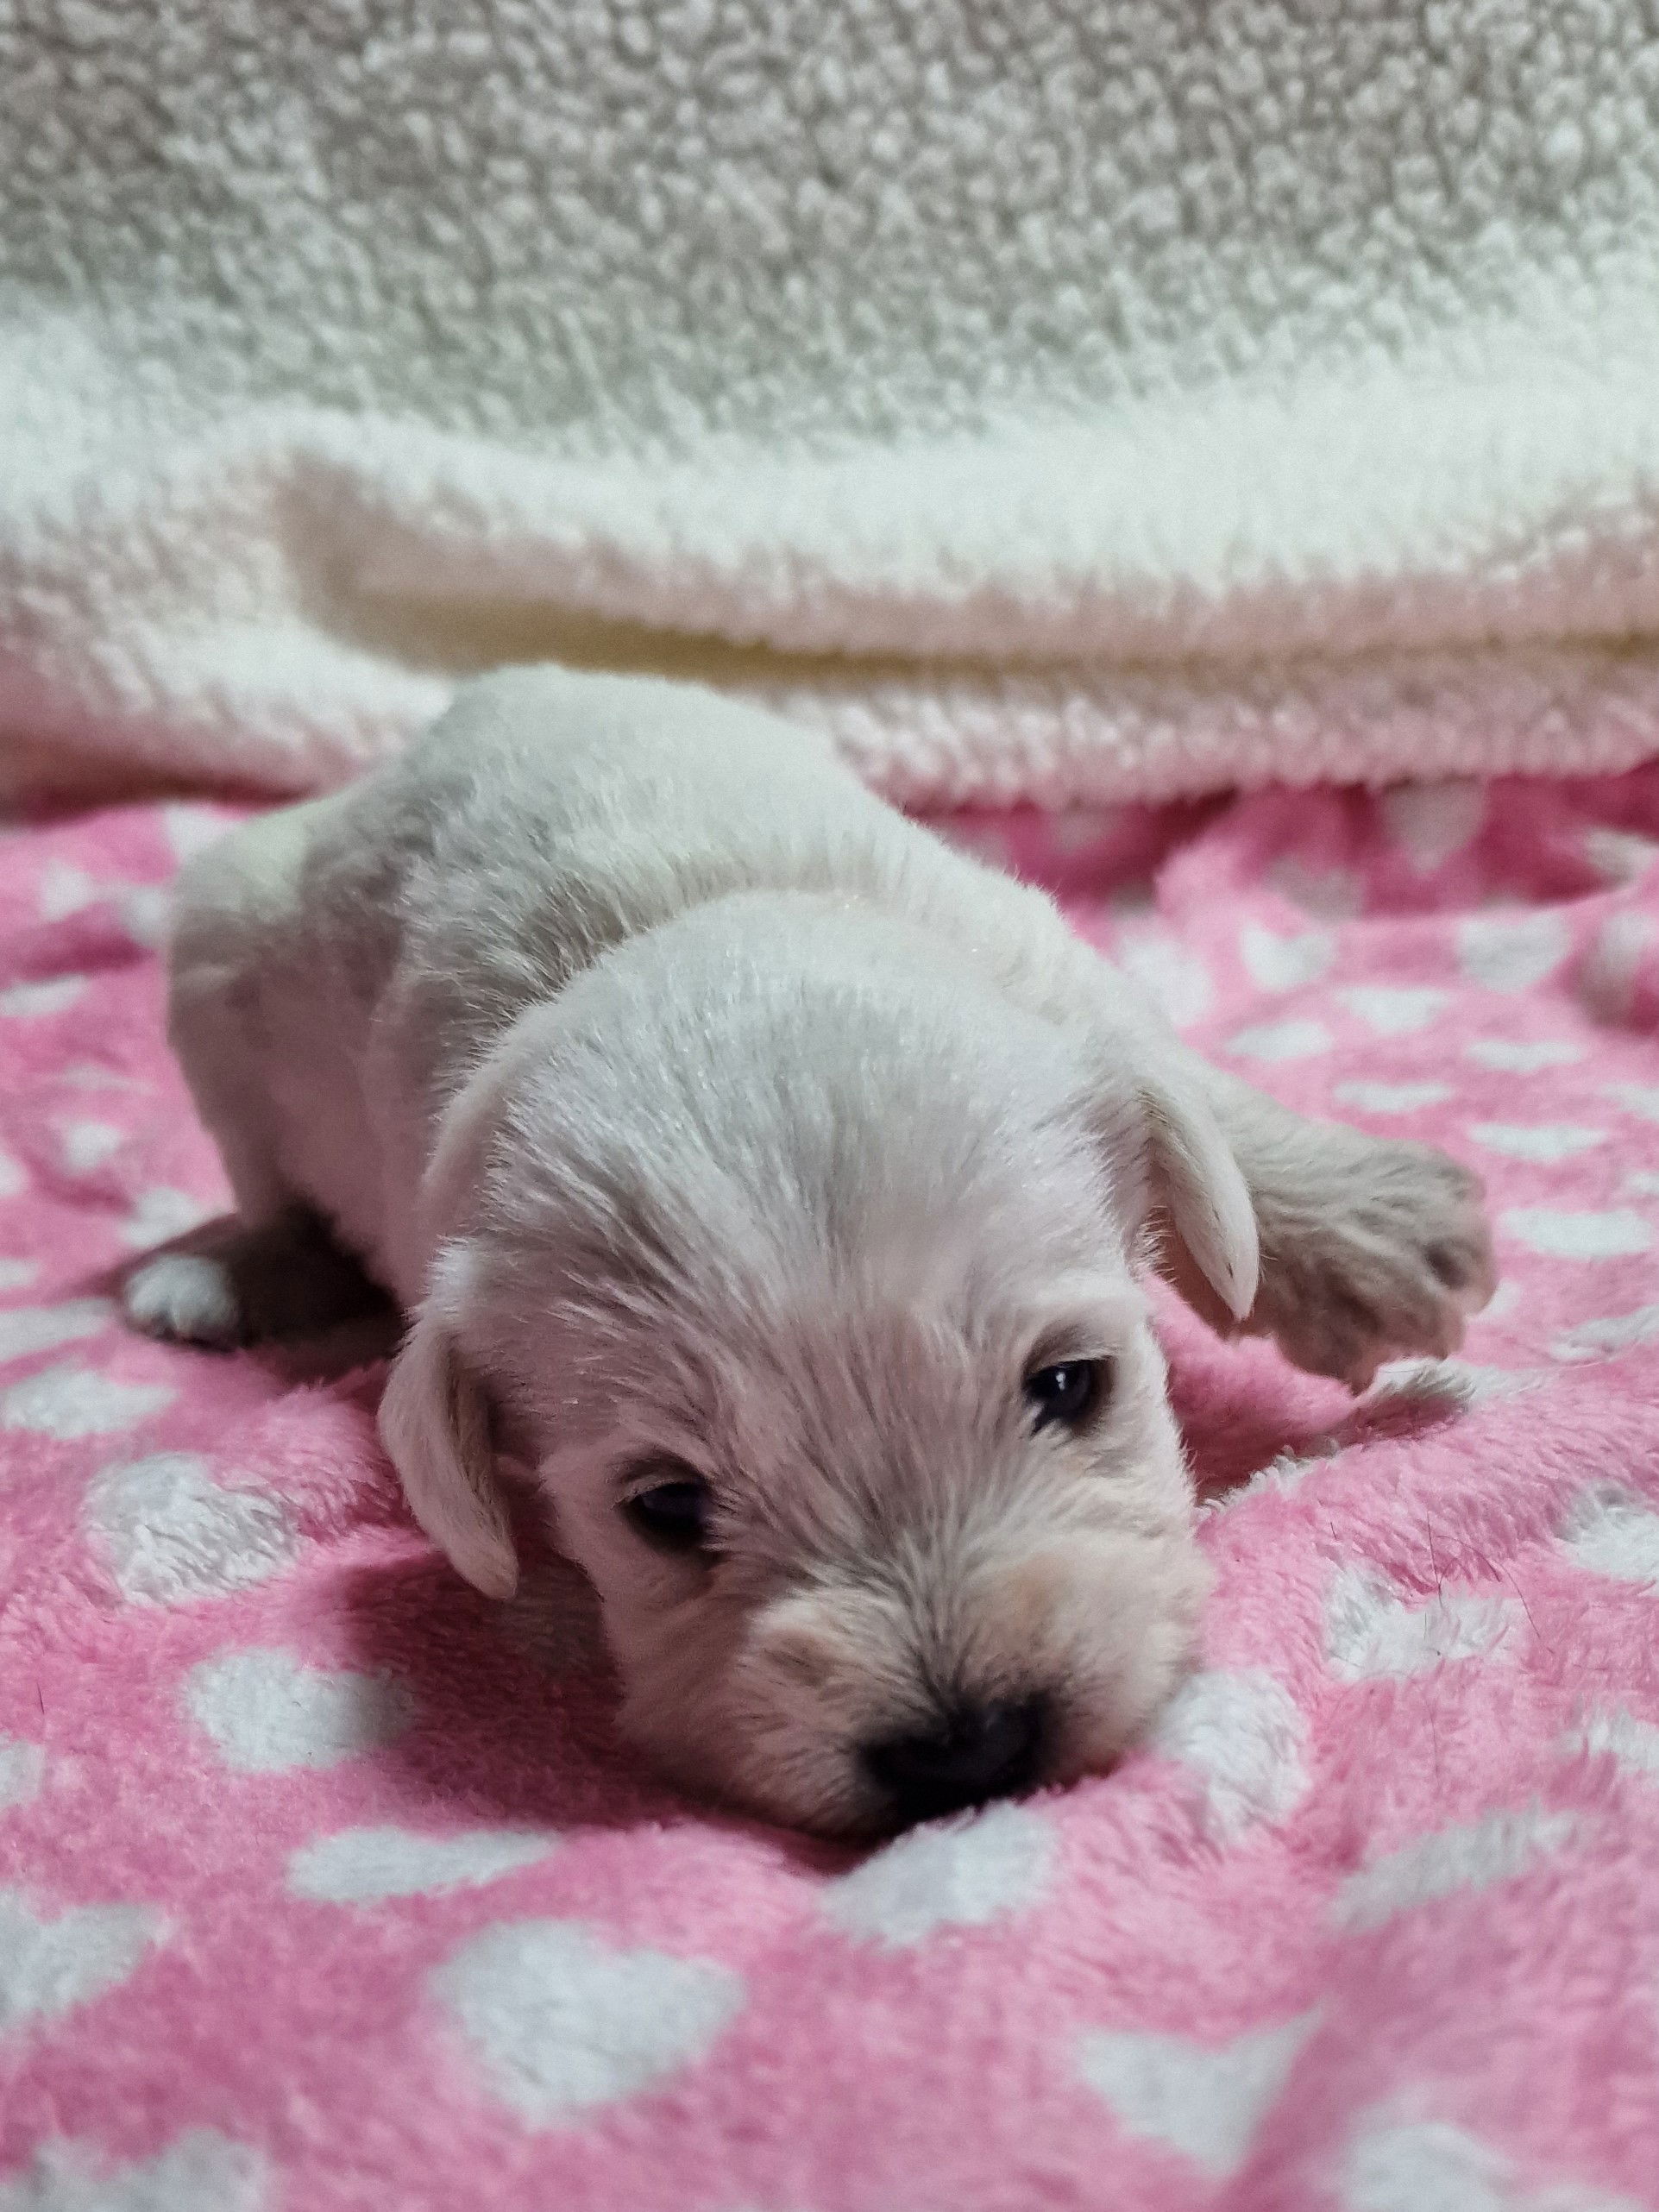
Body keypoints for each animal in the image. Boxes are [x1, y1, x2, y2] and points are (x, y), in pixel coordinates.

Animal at [123, 668, 1504, 1831]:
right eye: (665, 1507)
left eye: (1071, 1384)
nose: (969, 1749)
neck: (686, 929)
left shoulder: (1038, 962)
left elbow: (1181, 1092)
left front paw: (1377, 1228)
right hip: (216, 963)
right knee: (273, 1188)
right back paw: (220, 1275)